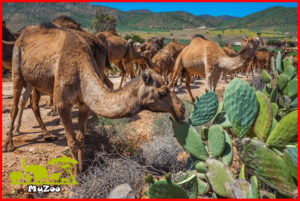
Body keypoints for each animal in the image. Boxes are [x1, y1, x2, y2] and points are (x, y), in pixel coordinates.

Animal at [3, 22, 184, 176]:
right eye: (162, 92)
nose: (181, 108)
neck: (80, 70)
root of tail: (21, 34)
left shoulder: (85, 104)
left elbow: (81, 139)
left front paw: (83, 170)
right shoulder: (62, 104)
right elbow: (71, 141)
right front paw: (75, 176)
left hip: (35, 80)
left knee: (32, 104)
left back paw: (47, 135)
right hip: (17, 68)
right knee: (15, 106)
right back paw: (9, 144)